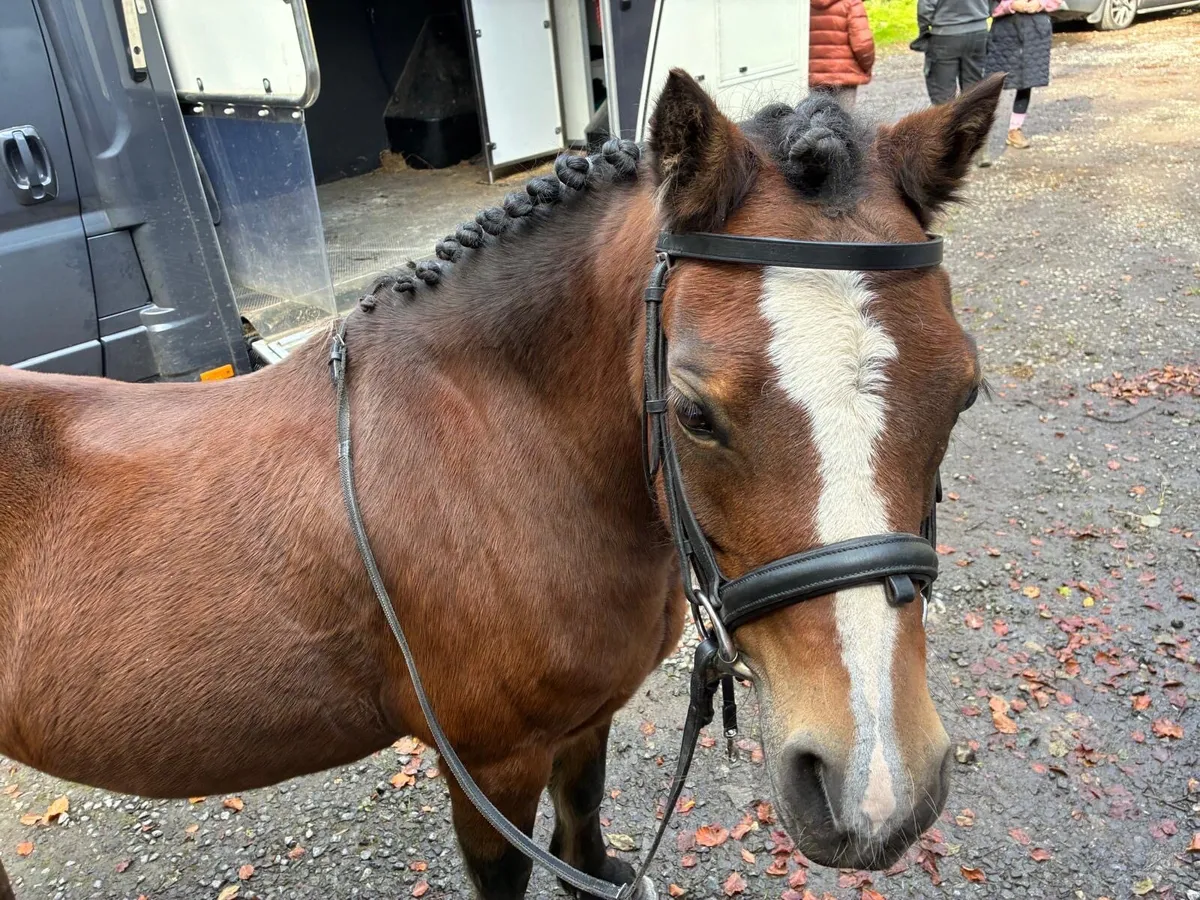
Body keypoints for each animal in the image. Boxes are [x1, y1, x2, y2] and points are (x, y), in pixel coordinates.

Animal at [0, 69, 1002, 899]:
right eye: (692, 412)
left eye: (965, 391)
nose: (877, 791)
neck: (503, 447)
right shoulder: (490, 764)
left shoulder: (582, 721)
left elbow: (583, 814)